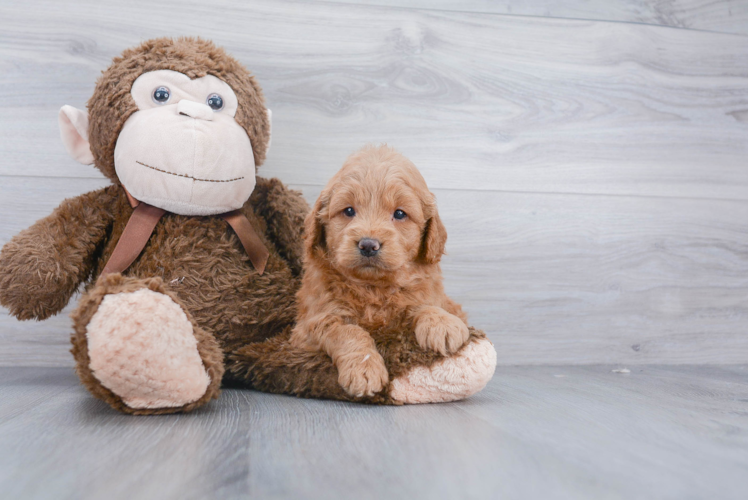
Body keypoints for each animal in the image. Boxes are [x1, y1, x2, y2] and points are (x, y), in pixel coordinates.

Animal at [290, 146, 470, 398]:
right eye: (348, 211)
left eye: (400, 214)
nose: (368, 245)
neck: (373, 288)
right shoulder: (309, 325)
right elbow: (347, 331)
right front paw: (364, 369)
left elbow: (424, 305)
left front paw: (441, 323)